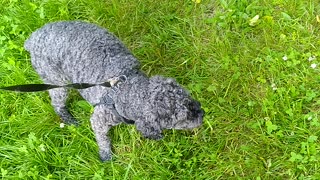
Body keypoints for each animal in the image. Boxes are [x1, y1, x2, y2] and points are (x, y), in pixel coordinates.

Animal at [25, 20, 205, 161]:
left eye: (189, 98)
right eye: (183, 118)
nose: (202, 114)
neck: (127, 90)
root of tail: (33, 37)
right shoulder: (98, 119)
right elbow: (102, 139)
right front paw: (106, 154)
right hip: (56, 81)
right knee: (57, 103)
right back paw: (68, 119)